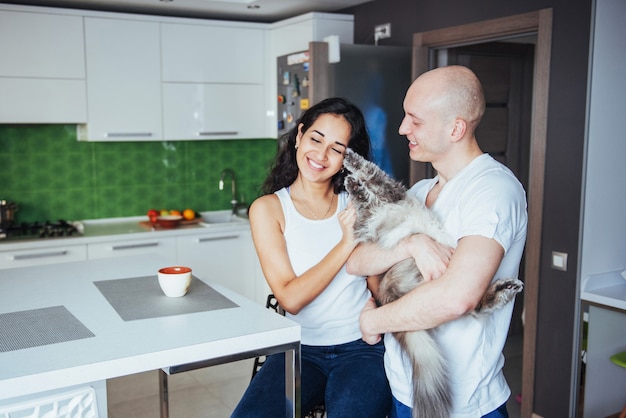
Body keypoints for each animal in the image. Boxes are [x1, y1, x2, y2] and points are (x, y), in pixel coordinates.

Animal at [342, 149, 520, 418]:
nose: (345, 180)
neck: (379, 205)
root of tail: (390, 295)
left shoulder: (387, 191)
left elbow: (368, 171)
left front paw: (351, 165)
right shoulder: (371, 214)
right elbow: (367, 188)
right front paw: (354, 184)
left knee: (474, 307)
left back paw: (506, 289)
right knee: (474, 308)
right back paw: (504, 289)